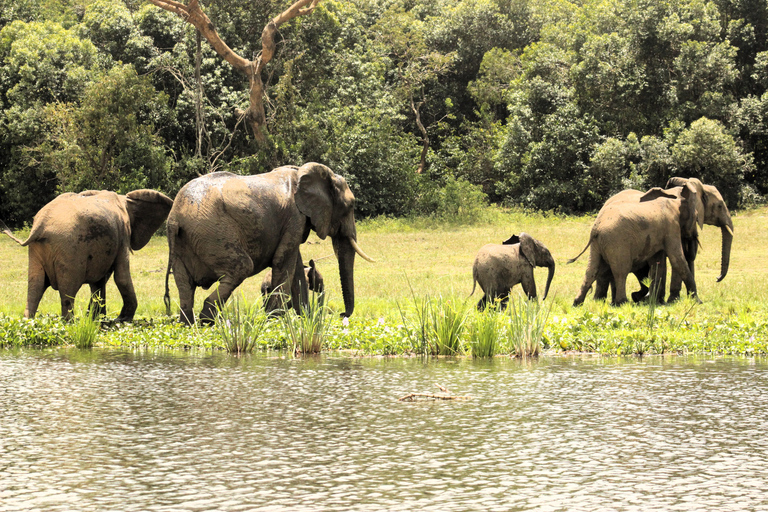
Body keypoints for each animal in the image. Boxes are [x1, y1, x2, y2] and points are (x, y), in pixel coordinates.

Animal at [0, 190, 174, 322]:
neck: (124, 199)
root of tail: (40, 225)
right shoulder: (122, 234)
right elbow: (121, 277)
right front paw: (121, 320)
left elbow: (99, 282)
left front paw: (96, 319)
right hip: (69, 249)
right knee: (68, 291)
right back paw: (70, 323)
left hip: (39, 251)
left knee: (35, 287)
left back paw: (28, 321)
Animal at [164, 163, 374, 324]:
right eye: (350, 206)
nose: (342, 314)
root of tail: (175, 217)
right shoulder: (294, 217)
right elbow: (283, 262)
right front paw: (275, 320)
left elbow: (296, 269)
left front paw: (305, 320)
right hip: (212, 231)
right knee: (242, 267)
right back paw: (207, 320)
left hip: (184, 241)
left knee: (185, 284)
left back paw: (188, 324)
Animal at [568, 182, 704, 306]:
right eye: (697, 217)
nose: (693, 235)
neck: (674, 200)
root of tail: (596, 229)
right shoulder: (671, 226)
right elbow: (677, 259)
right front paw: (698, 302)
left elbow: (657, 263)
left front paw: (652, 301)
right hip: (617, 242)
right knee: (621, 270)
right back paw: (622, 302)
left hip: (598, 244)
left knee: (593, 269)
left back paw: (578, 303)